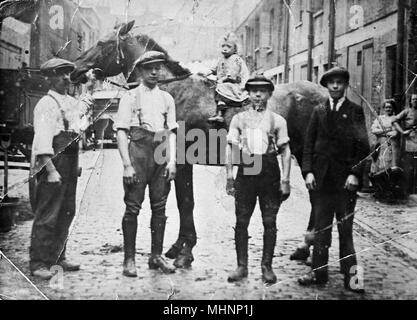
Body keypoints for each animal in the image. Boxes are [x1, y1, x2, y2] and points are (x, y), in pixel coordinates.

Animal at [70, 20, 326, 268]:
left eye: (102, 43)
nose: (75, 70)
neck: (171, 89)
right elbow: (183, 202)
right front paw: (178, 247)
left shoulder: (182, 161)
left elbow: (186, 203)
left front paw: (185, 252)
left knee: (317, 197)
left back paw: (308, 246)